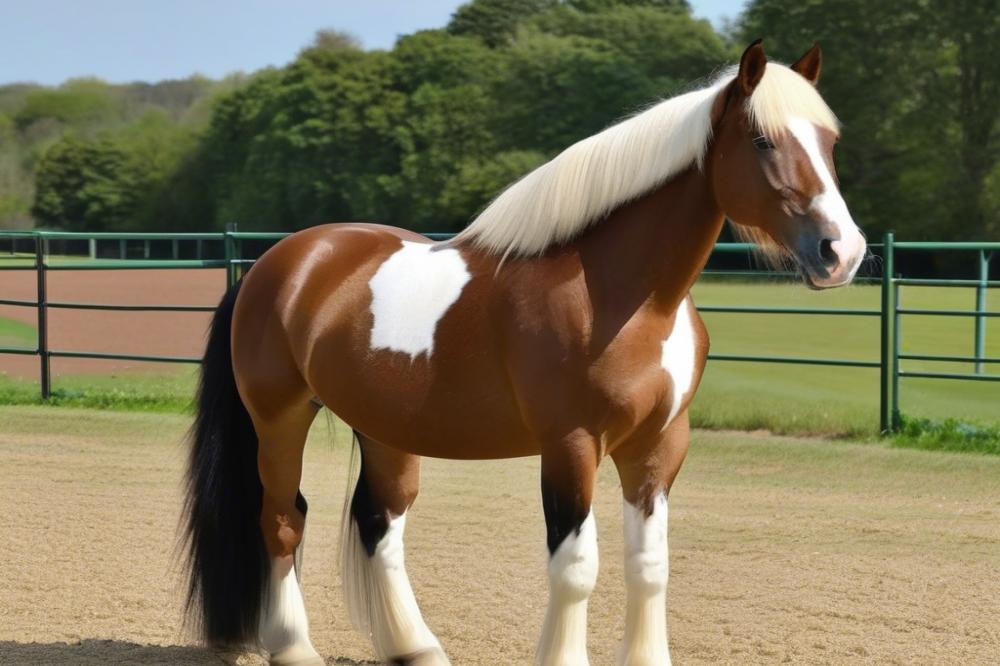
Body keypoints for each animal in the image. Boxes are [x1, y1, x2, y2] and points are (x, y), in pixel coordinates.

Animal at [182, 41, 868, 664]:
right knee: (282, 520)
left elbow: (649, 565)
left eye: (830, 143)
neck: (624, 295)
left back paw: (417, 647)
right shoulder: (571, 445)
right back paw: (295, 648)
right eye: (761, 141)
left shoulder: (659, 445)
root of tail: (280, 261)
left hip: (382, 429)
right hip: (281, 417)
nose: (842, 252)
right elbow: (576, 567)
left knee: (380, 526)